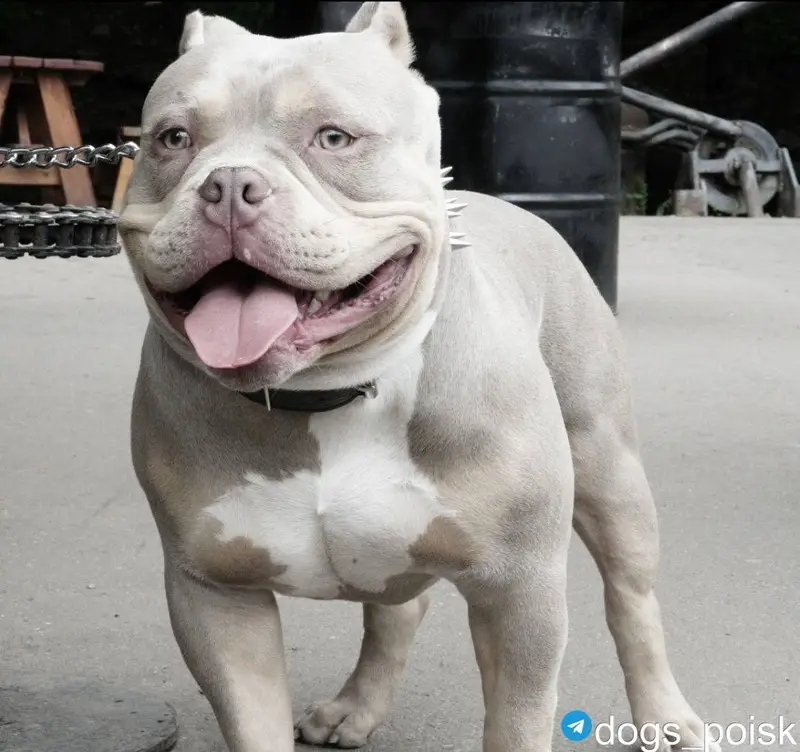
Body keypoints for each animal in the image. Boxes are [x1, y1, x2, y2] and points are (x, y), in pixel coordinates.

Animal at [118, 3, 716, 750]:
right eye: (173, 139)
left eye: (333, 137)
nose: (227, 187)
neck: (330, 393)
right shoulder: (215, 595)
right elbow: (254, 720)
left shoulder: (520, 593)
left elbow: (518, 721)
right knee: (395, 607)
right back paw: (356, 705)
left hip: (611, 473)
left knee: (632, 599)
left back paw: (667, 716)